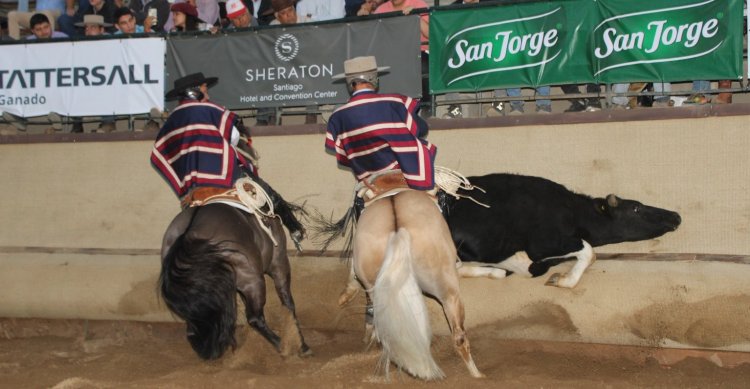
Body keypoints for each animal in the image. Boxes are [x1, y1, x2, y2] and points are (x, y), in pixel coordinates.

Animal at [159, 202, 312, 360]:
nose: (298, 231)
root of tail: (189, 231)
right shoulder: (278, 263)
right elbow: (288, 304)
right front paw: (300, 343)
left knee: (194, 327)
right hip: (255, 281)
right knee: (255, 318)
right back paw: (283, 345)